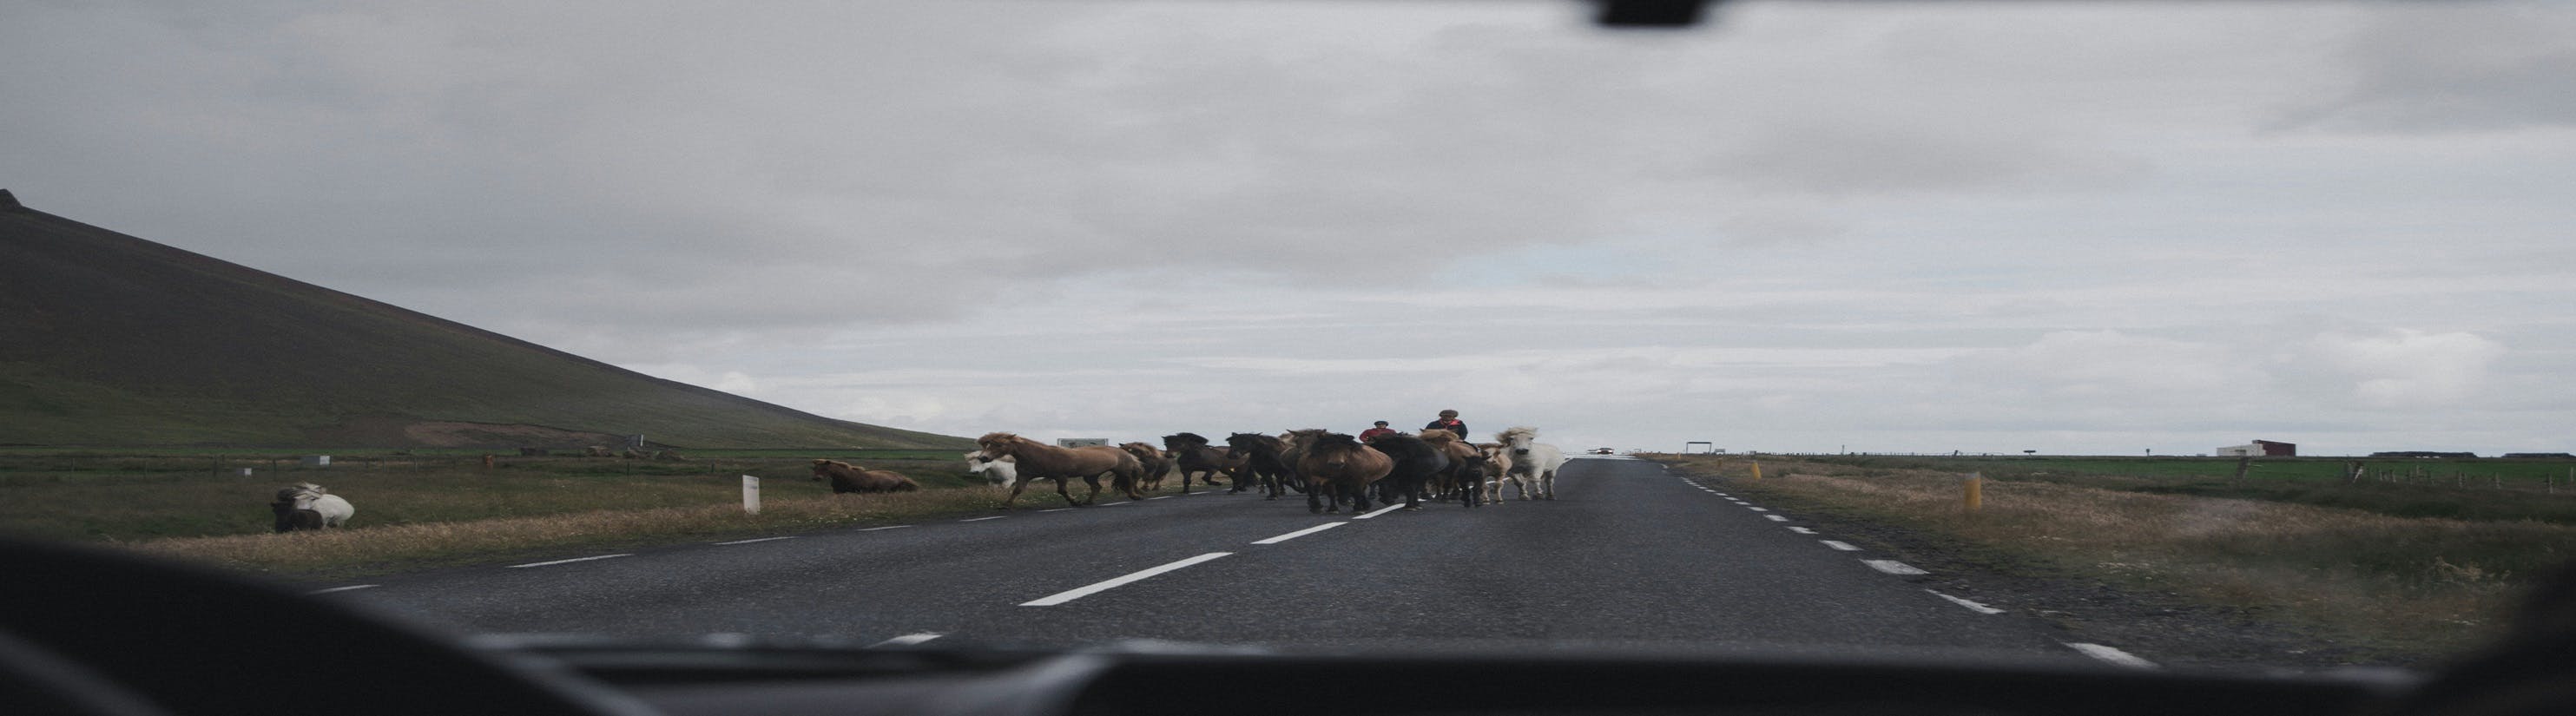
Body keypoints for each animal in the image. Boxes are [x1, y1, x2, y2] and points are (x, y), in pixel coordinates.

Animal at [978, 432, 1143, 507]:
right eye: (986, 445)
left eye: (999, 445)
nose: (983, 458)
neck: (1038, 455)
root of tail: (1125, 452)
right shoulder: (1024, 476)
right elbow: (1017, 490)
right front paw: (1005, 505)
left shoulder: (1061, 476)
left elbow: (1062, 491)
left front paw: (1075, 502)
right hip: (1091, 475)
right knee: (1096, 487)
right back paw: (1088, 501)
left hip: (1123, 471)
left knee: (1129, 481)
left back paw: (1135, 496)